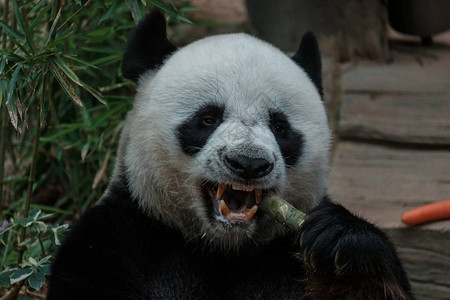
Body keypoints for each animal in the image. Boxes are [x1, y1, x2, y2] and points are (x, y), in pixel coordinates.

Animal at [47, 11, 414, 300]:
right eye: (208, 118)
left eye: (280, 126)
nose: (249, 163)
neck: (223, 252)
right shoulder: (116, 239)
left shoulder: (283, 256)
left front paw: (343, 245)